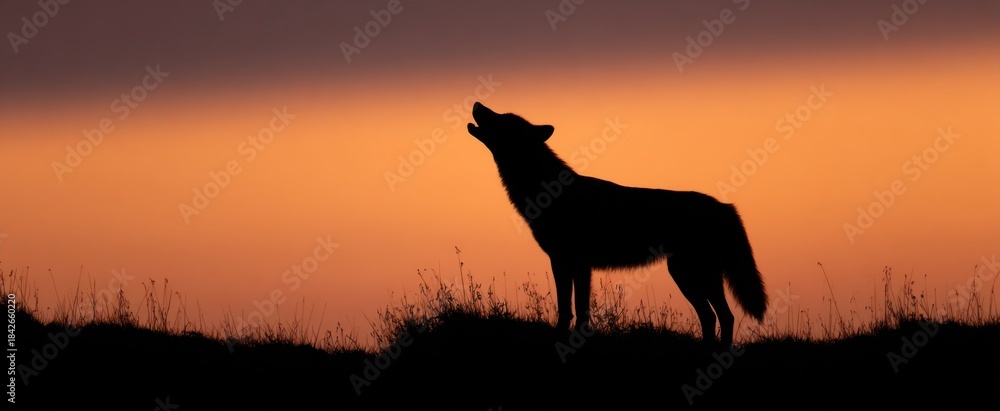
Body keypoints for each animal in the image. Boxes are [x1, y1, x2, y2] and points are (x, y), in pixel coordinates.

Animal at [467, 102, 767, 346]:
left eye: (502, 118)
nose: (477, 103)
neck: (547, 192)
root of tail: (725, 207)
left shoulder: (576, 262)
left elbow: (576, 308)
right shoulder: (564, 262)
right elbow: (569, 308)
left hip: (691, 275)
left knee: (724, 316)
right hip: (685, 275)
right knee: (712, 317)